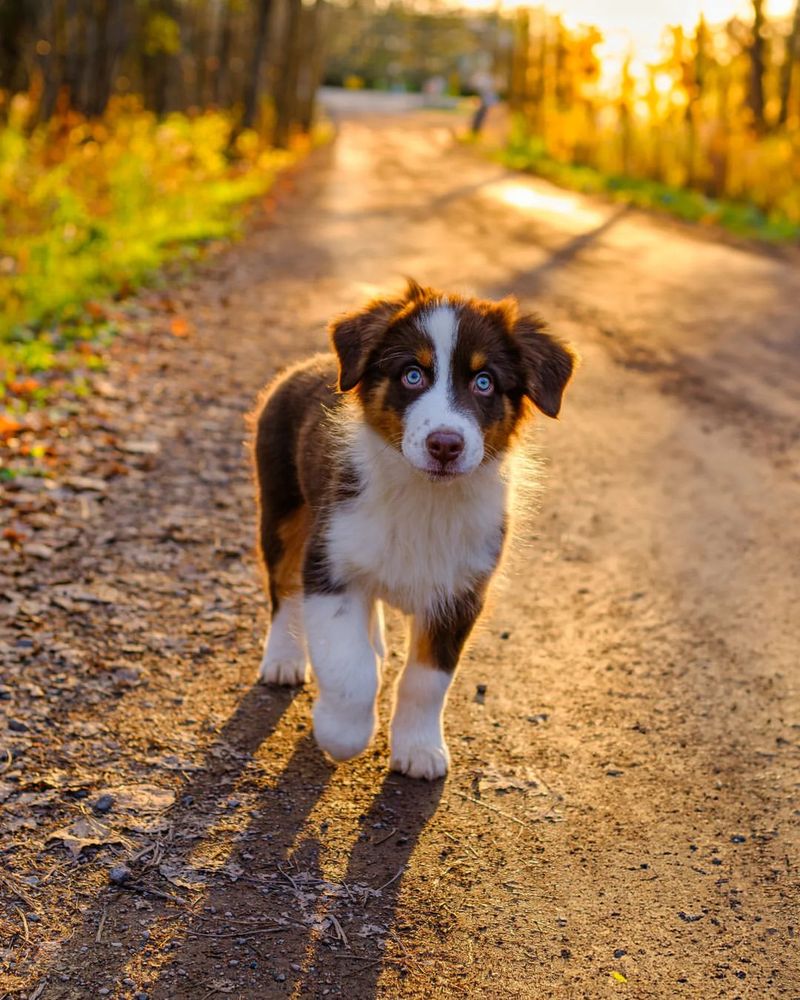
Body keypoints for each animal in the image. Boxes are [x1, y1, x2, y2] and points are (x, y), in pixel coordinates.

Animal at [250, 282, 576, 780]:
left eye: (484, 382)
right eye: (412, 375)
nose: (445, 445)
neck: (424, 498)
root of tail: (303, 366)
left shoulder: (461, 591)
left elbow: (427, 679)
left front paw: (419, 750)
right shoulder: (330, 561)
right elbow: (348, 668)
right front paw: (341, 734)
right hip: (283, 506)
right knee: (283, 588)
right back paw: (284, 660)